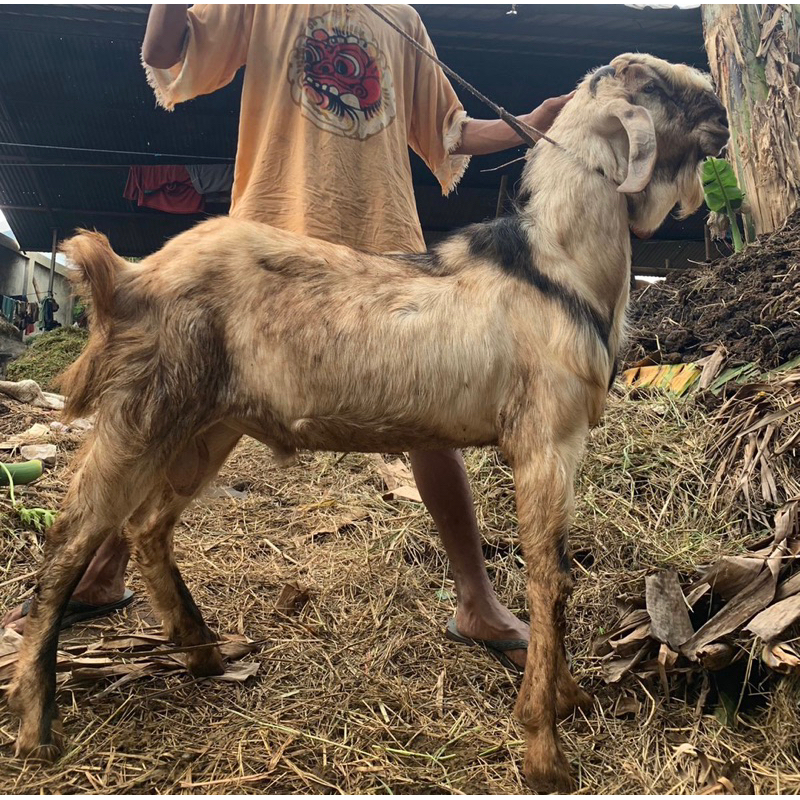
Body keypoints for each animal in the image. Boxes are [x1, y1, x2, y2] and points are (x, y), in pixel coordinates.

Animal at [7, 51, 732, 792]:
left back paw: (204, 651)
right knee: (69, 538)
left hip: (208, 424)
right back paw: (37, 721)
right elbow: (551, 582)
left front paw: (570, 698)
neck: (555, 267)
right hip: (145, 411)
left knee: (147, 526)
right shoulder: (546, 440)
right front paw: (544, 748)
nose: (725, 118)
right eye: (656, 84)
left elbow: (551, 580)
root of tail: (131, 276)